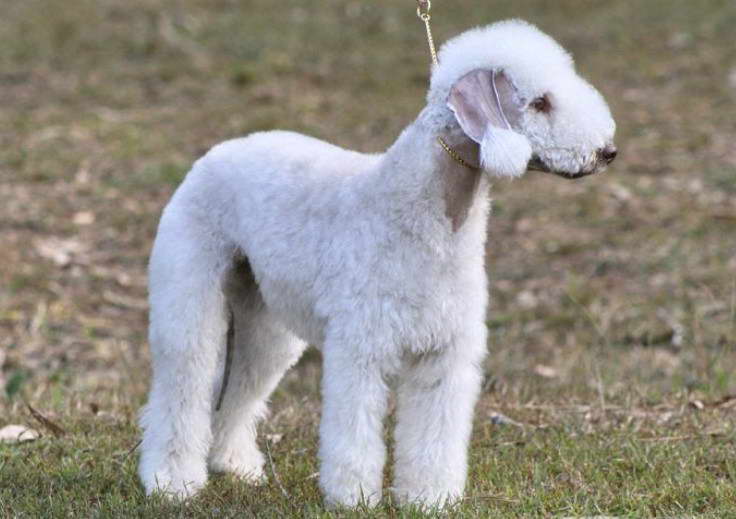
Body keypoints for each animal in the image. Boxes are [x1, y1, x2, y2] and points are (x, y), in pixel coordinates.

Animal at [138, 19, 616, 508]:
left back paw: (233, 465)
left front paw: (430, 499)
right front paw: (354, 499)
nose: (606, 151)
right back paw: (172, 482)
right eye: (541, 102)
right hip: (191, 298)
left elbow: (434, 439)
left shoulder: (443, 354)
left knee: (239, 390)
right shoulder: (361, 347)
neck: (427, 218)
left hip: (266, 323)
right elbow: (354, 435)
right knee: (182, 389)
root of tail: (214, 154)